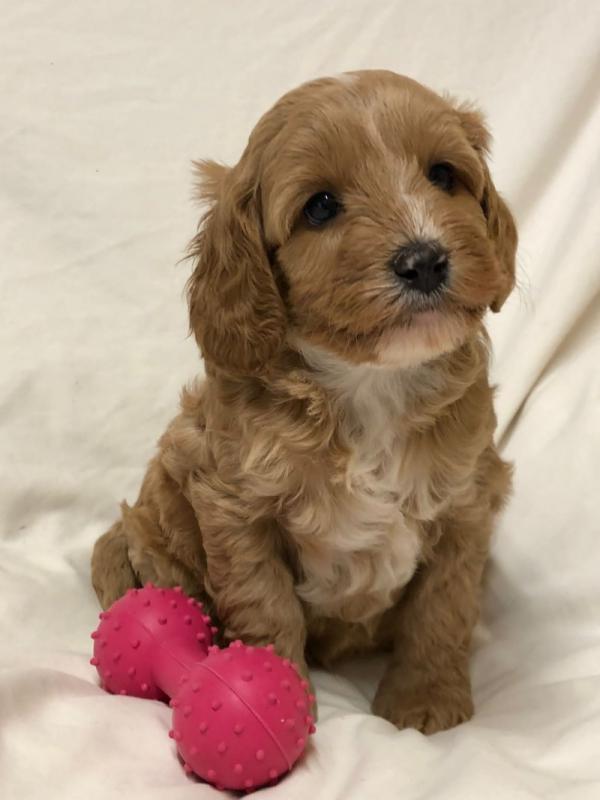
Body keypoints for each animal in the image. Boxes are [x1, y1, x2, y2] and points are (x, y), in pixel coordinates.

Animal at [92, 72, 516, 736]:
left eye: (444, 175)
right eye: (320, 207)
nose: (423, 259)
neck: (369, 384)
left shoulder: (467, 502)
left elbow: (442, 607)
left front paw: (425, 701)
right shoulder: (235, 509)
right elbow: (265, 607)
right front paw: (276, 700)